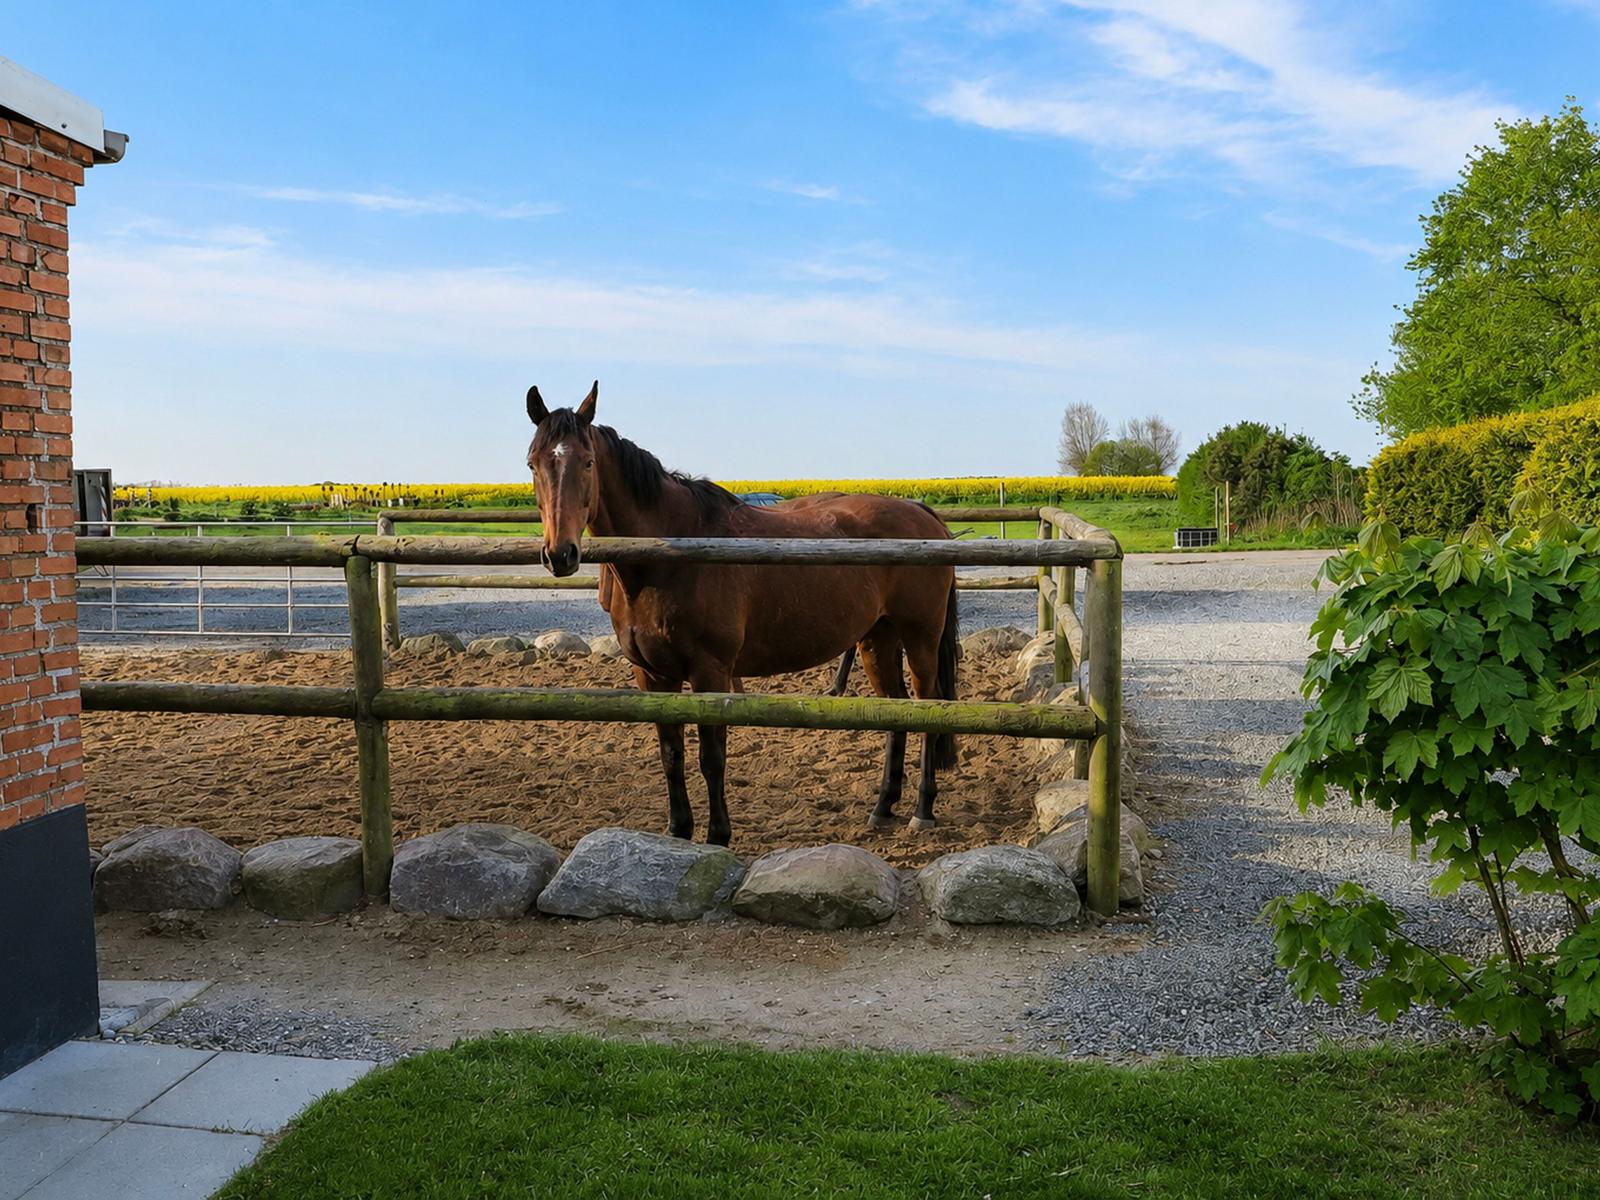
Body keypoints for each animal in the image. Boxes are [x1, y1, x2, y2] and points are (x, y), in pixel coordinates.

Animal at [525, 380, 959, 847]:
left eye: (587, 462)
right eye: (532, 464)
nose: (560, 554)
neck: (671, 555)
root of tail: (923, 515)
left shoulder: (710, 672)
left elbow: (711, 756)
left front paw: (717, 836)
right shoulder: (652, 675)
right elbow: (671, 753)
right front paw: (678, 832)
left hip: (920, 637)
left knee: (930, 706)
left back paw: (922, 810)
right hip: (877, 639)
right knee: (898, 710)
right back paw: (883, 807)